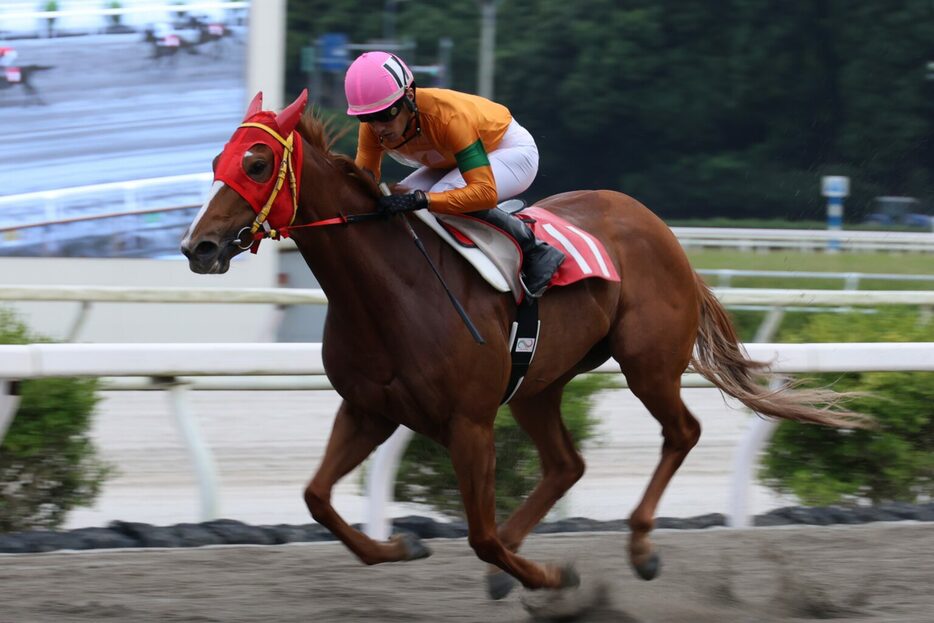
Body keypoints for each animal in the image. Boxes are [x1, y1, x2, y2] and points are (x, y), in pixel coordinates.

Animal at [181, 90, 872, 604]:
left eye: (257, 164)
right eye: (218, 158)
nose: (198, 247)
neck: (391, 291)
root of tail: (658, 226)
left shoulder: (469, 422)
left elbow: (480, 535)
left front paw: (551, 577)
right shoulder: (370, 409)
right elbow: (317, 499)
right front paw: (403, 545)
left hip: (648, 365)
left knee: (682, 432)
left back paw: (639, 547)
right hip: (537, 384)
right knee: (568, 464)